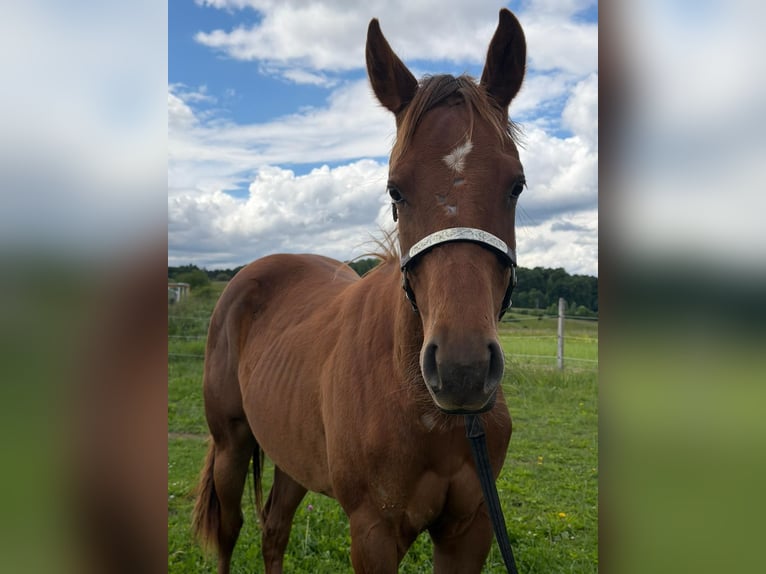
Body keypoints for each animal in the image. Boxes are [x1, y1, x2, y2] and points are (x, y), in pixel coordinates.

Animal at [193, 8, 527, 573]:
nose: (462, 369)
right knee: (231, 530)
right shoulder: (372, 533)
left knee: (274, 530)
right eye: (396, 189)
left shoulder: (470, 528)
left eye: (516, 185)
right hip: (230, 442)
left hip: (291, 454)